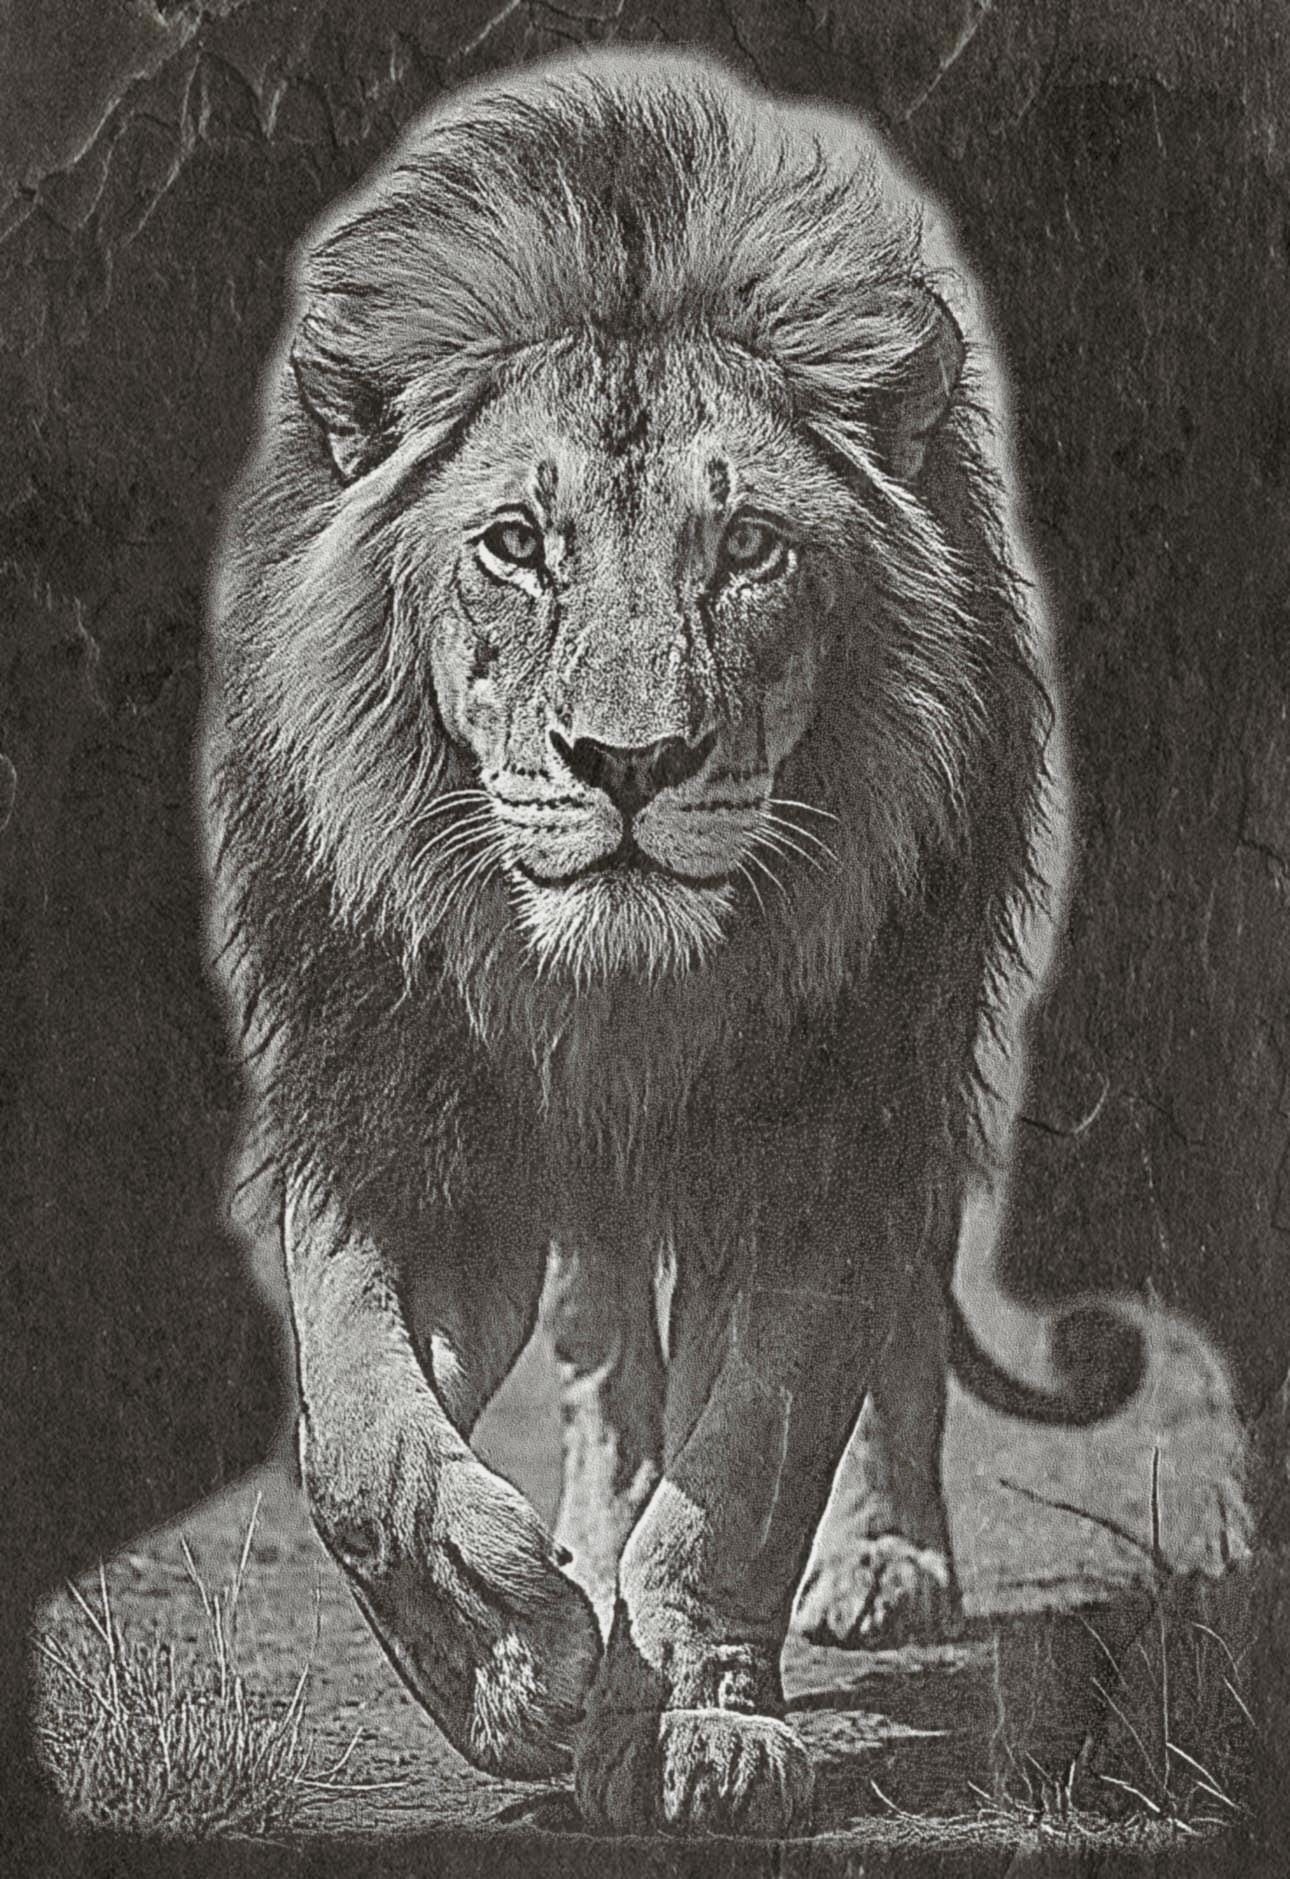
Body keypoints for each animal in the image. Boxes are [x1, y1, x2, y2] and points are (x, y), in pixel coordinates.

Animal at [202, 49, 1142, 1837]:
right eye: (514, 545)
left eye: (749, 549)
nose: (625, 764)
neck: (615, 994)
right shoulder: (402, 1117)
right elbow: (360, 1447)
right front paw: (516, 1665)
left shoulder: (827, 1130)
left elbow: (747, 1463)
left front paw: (692, 1717)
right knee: (598, 1353)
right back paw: (582, 1538)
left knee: (885, 1342)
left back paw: (879, 1559)